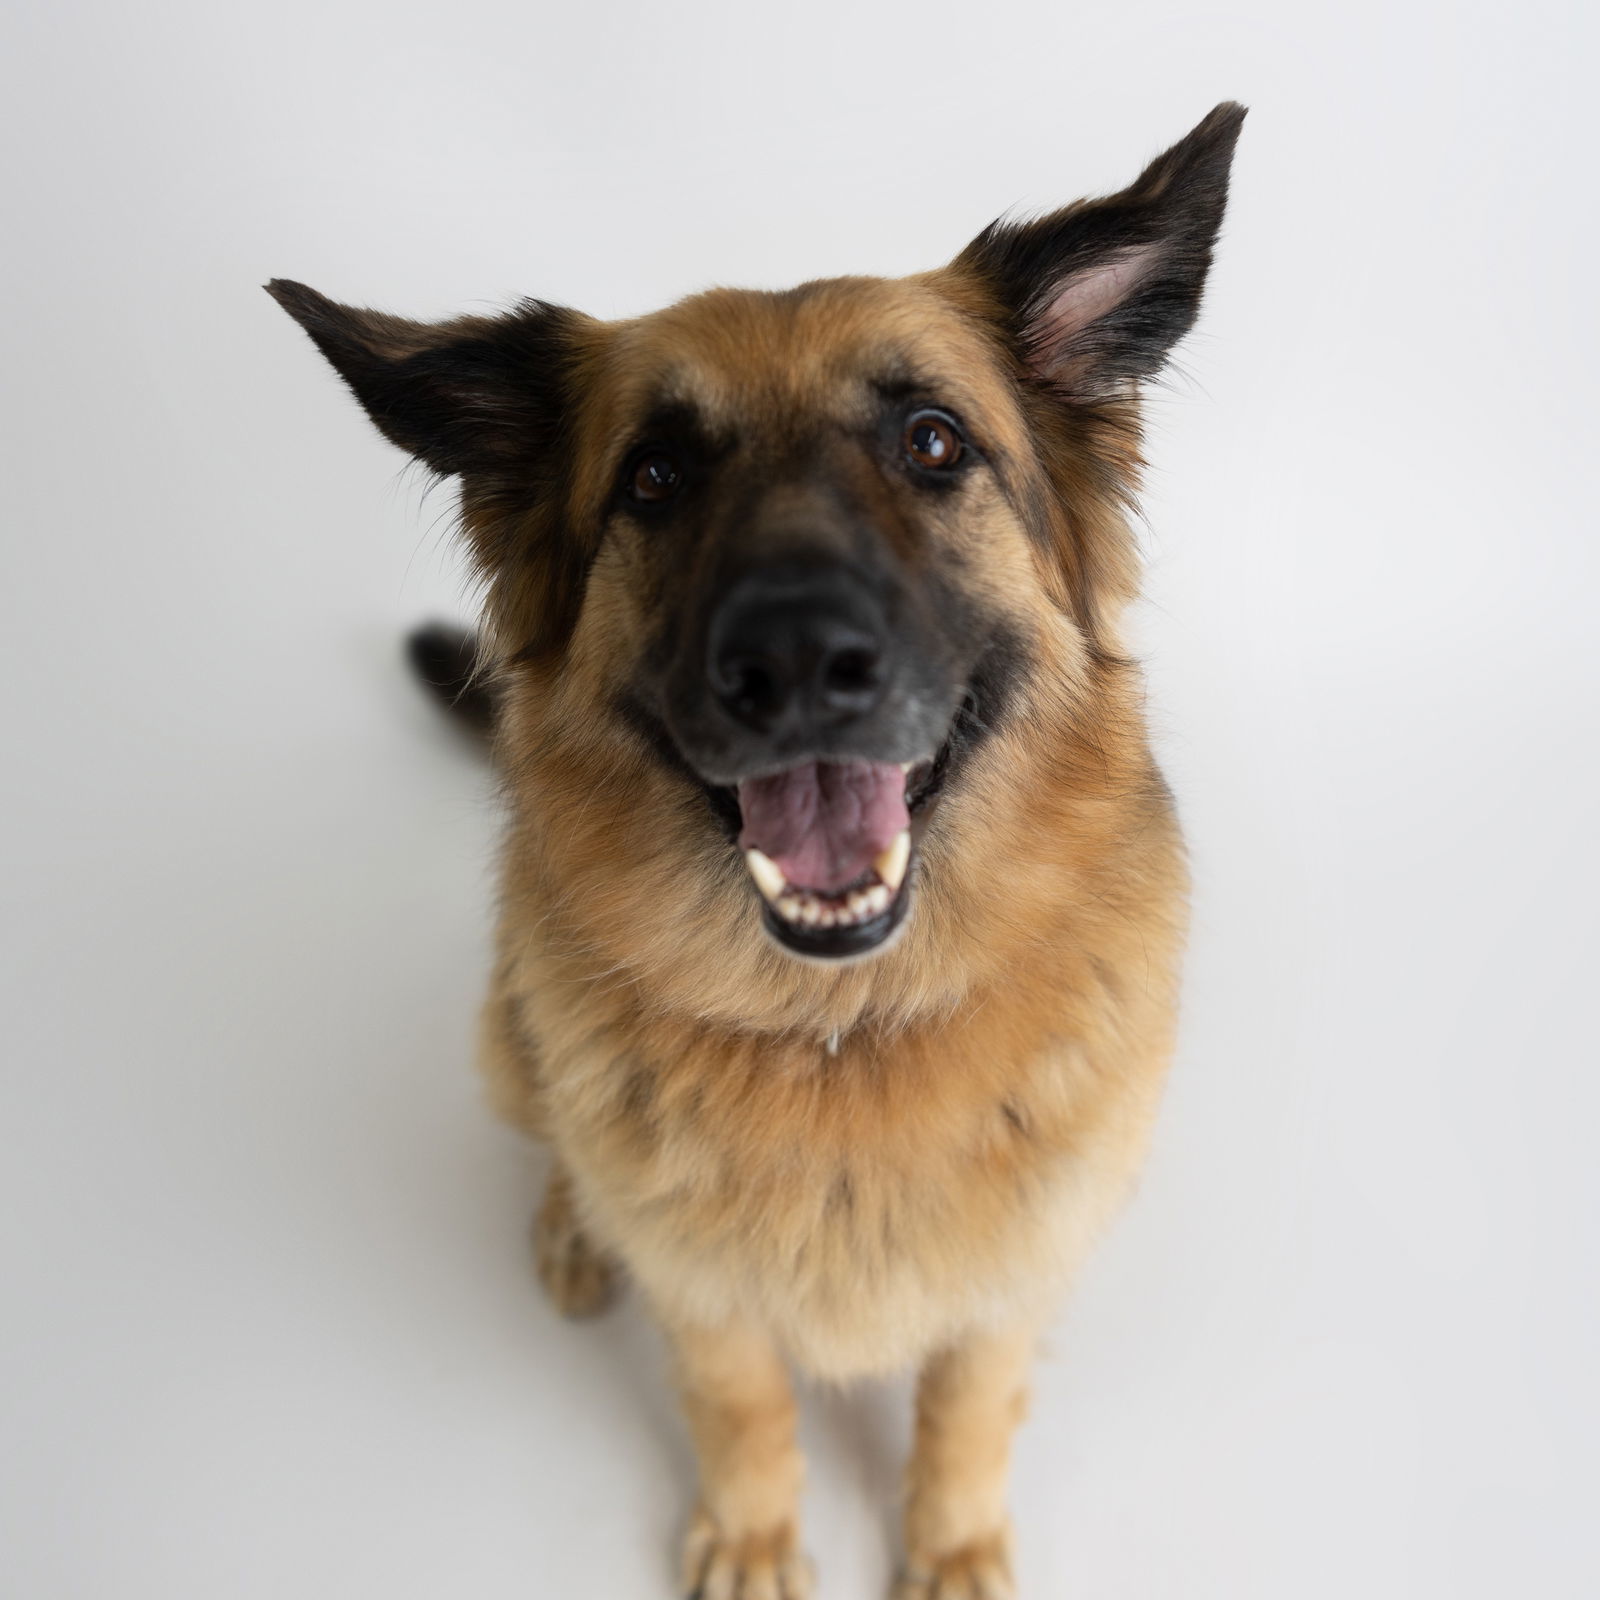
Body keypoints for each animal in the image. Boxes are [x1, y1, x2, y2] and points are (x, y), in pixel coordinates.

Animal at [272, 106, 1248, 1593]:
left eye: (931, 442)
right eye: (656, 476)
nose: (792, 662)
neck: (844, 1034)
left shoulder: (1009, 1284)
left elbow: (968, 1406)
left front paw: (950, 1542)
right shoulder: (704, 1302)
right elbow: (737, 1407)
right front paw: (751, 1532)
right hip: (505, 1039)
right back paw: (573, 1224)